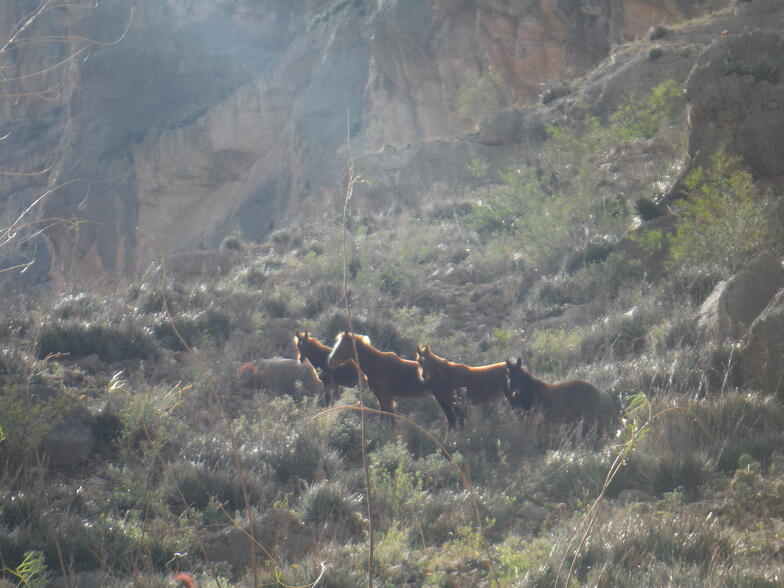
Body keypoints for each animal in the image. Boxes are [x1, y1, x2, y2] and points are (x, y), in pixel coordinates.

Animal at [326, 330, 460, 428]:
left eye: (342, 347)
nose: (330, 361)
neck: (375, 364)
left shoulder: (386, 395)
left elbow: (391, 414)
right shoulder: (379, 395)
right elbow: (383, 413)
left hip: (443, 399)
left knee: (454, 420)